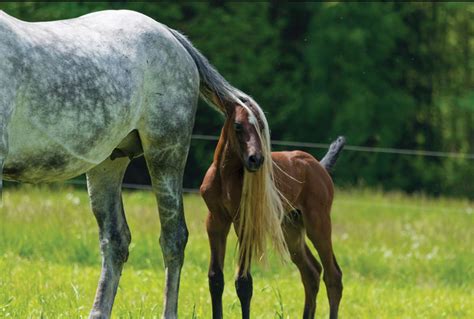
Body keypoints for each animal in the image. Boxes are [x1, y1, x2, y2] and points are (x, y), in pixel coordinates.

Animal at [200, 101, 344, 319]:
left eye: (262, 126)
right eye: (238, 125)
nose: (256, 159)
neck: (226, 177)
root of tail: (318, 165)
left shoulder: (246, 223)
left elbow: (244, 282)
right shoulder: (215, 221)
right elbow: (215, 278)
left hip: (318, 223)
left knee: (333, 275)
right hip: (290, 228)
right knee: (311, 272)